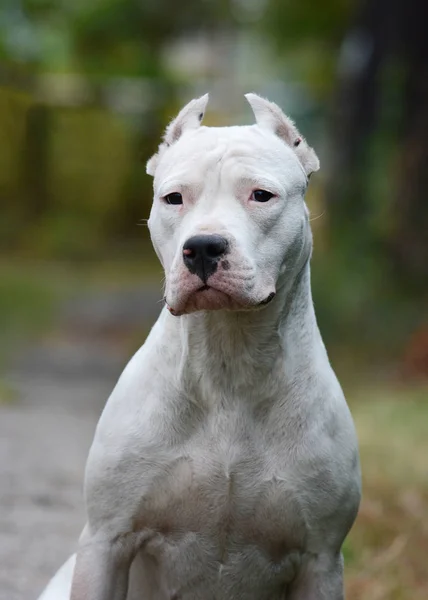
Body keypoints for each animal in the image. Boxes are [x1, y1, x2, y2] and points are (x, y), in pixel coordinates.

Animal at [39, 94, 362, 600]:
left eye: (261, 195)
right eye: (173, 198)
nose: (204, 247)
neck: (228, 359)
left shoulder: (321, 559)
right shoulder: (106, 540)